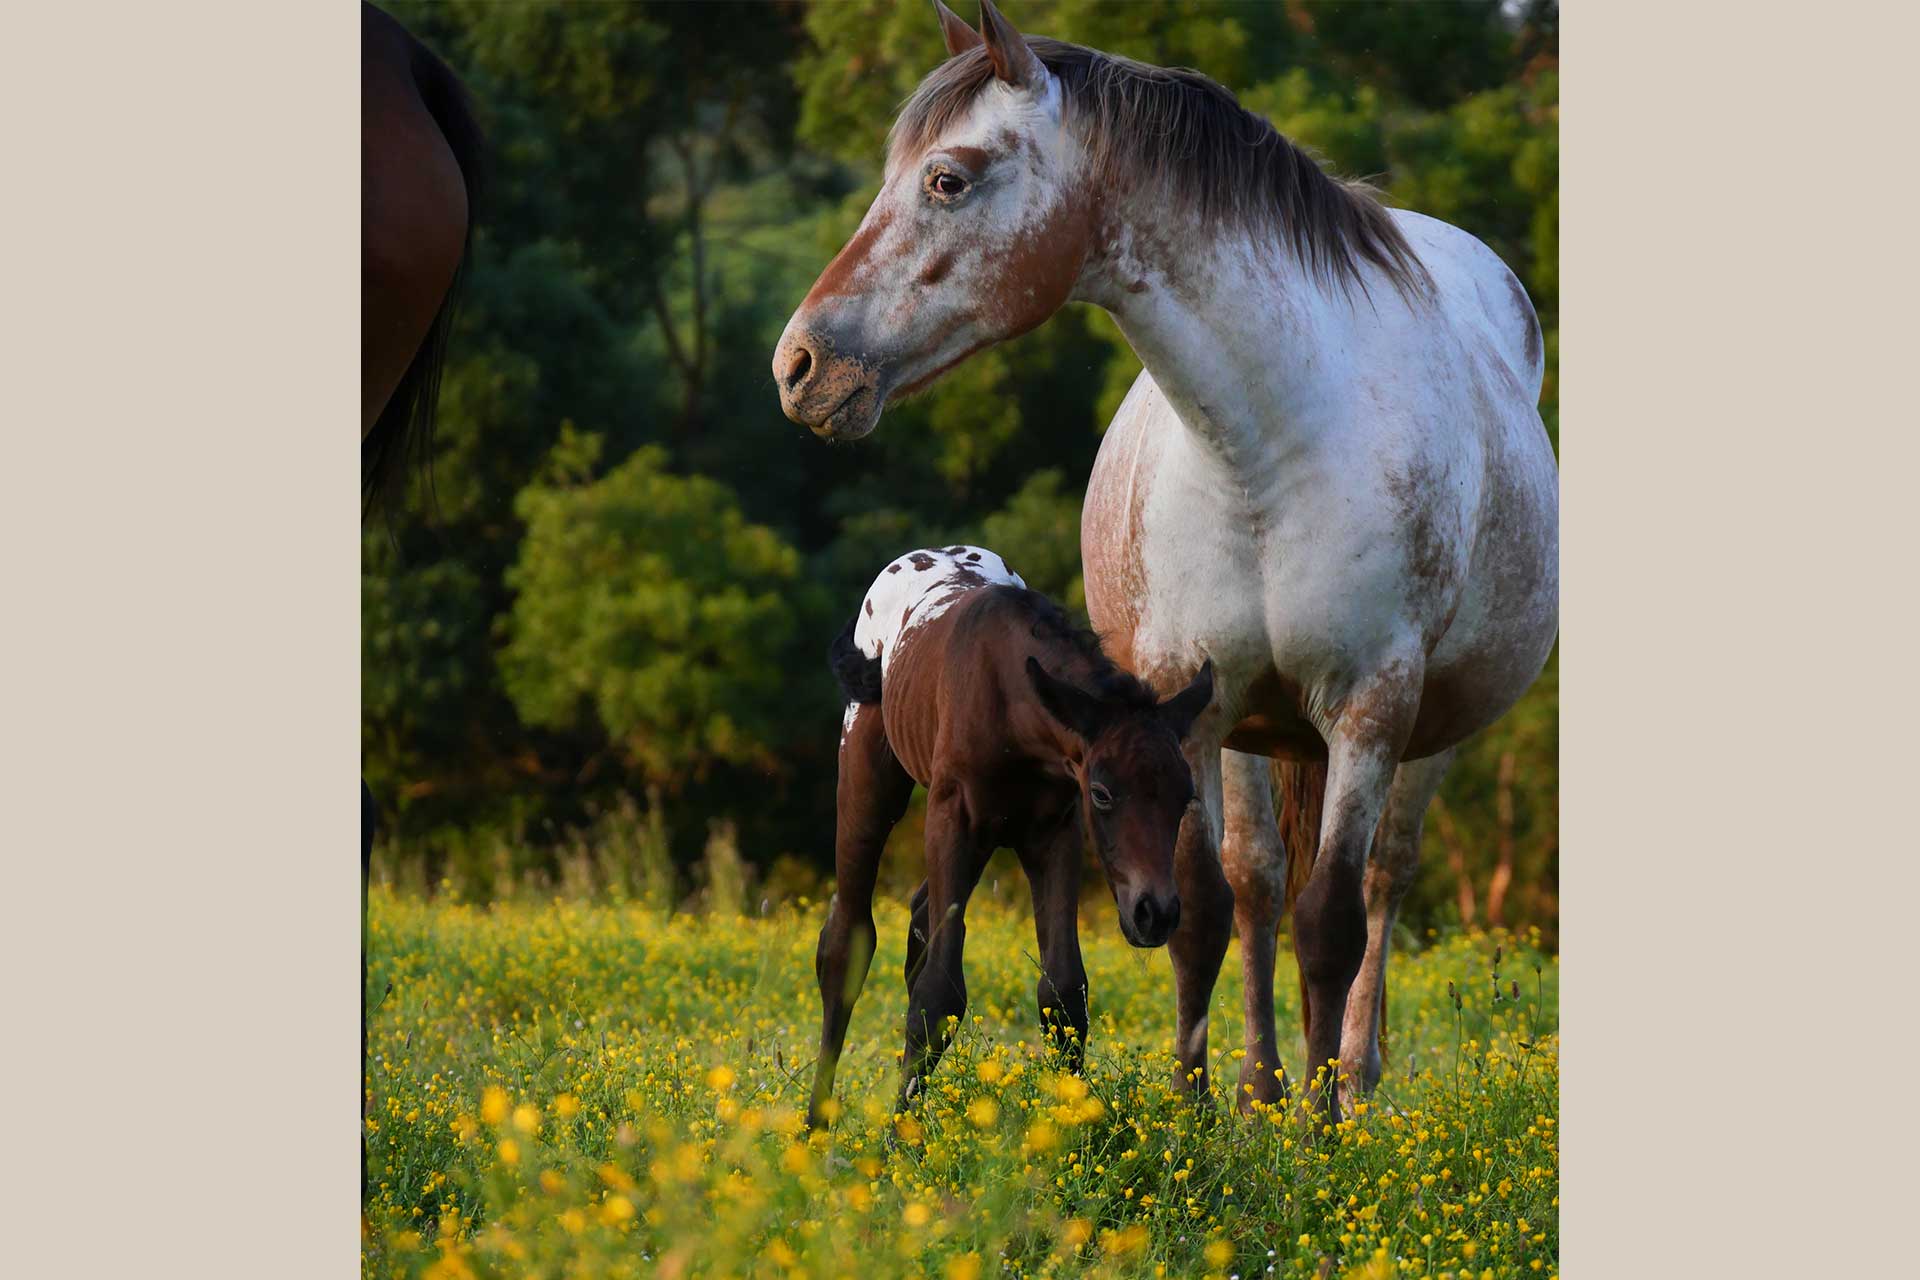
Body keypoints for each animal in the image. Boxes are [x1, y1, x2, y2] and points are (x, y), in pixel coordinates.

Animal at [806, 545, 1198, 1128]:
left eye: (1184, 796)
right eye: (1102, 793)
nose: (1156, 913)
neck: (1010, 704)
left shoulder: (1053, 831)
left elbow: (1063, 990)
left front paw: (1074, 1129)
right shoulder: (953, 817)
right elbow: (939, 993)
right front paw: (898, 1138)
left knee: (921, 915)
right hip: (870, 778)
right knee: (847, 940)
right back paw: (816, 1124)